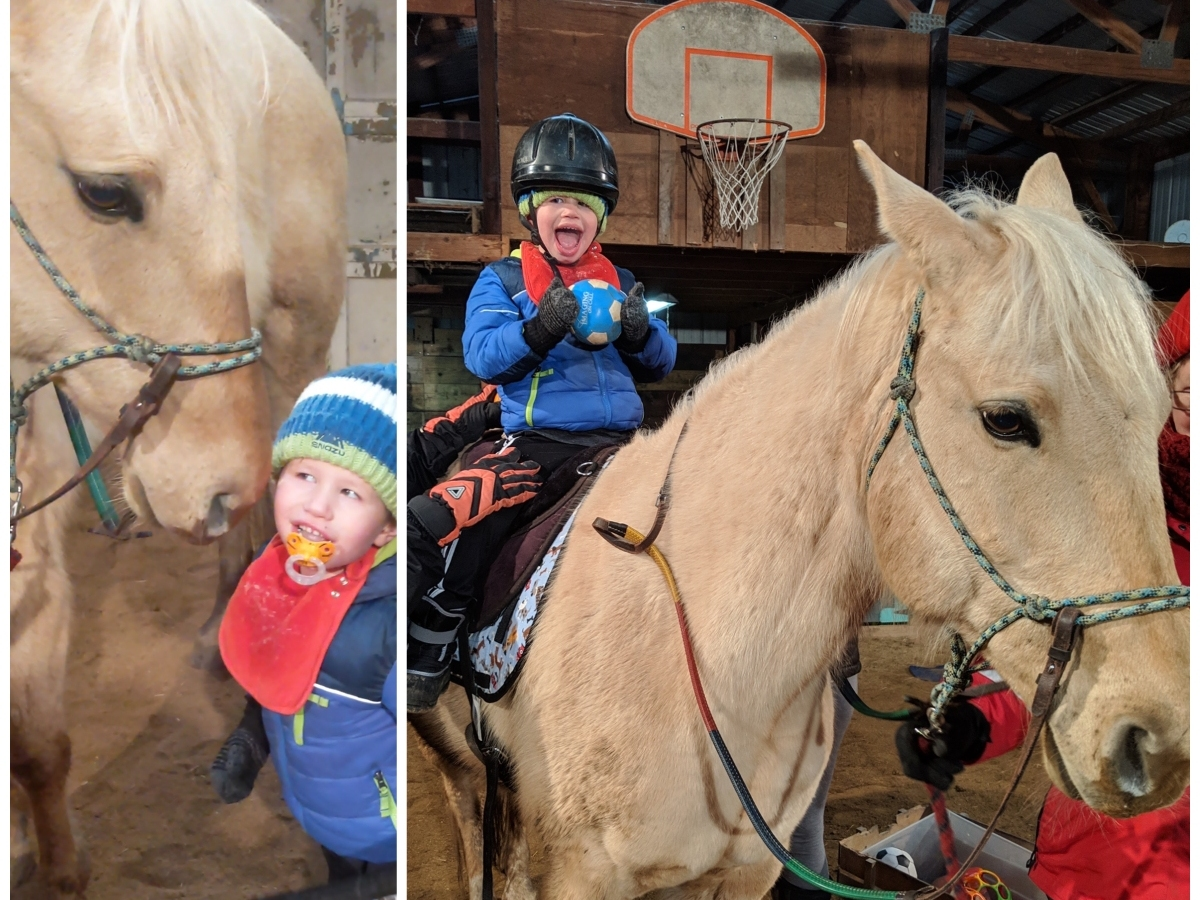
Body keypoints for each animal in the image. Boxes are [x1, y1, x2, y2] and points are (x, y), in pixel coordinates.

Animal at [409, 141, 1189, 899]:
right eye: (1005, 419)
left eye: (1160, 419)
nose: (1161, 743)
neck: (703, 656)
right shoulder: (585, 877)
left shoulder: (744, 873)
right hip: (455, 756)